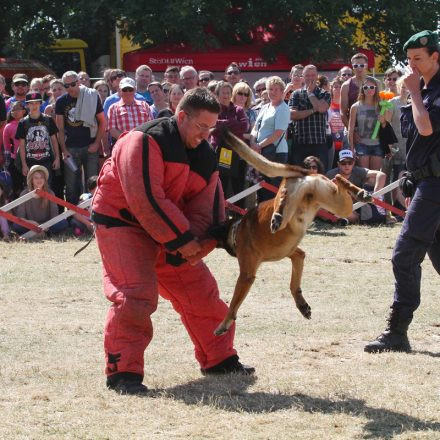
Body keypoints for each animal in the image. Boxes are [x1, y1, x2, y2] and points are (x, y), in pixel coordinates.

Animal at [213, 130, 372, 334]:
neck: (237, 228)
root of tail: (306, 172)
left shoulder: (246, 275)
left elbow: (233, 304)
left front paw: (224, 323)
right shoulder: (296, 255)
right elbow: (293, 284)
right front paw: (302, 305)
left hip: (297, 195)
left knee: (283, 196)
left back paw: (278, 215)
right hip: (339, 203)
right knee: (338, 178)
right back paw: (360, 193)